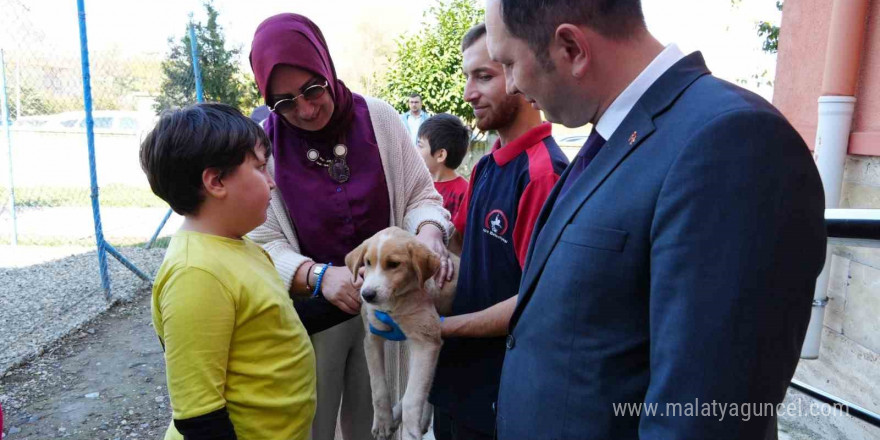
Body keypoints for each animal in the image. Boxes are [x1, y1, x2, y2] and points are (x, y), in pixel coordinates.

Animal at [344, 227, 458, 440]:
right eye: (367, 262)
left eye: (394, 264)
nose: (367, 295)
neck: (396, 303)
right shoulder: (372, 337)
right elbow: (378, 387)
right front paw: (383, 422)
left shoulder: (426, 341)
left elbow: (413, 398)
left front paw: (410, 432)